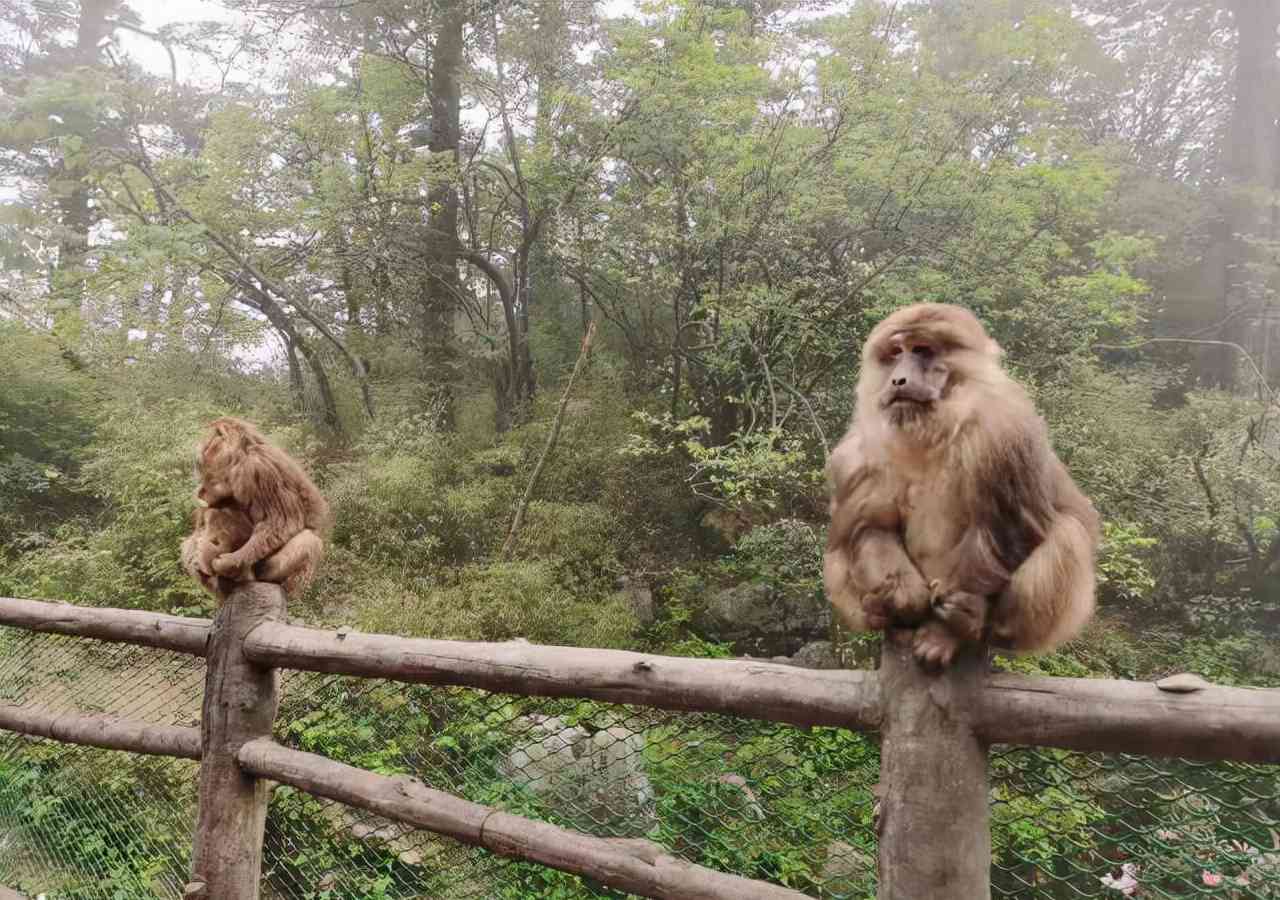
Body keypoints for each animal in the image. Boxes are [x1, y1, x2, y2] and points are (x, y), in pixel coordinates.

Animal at [195, 419, 330, 594]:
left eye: (208, 444)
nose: (201, 453)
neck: (242, 455)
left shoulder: (261, 469)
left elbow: (280, 522)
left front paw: (230, 561)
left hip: (269, 571)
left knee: (308, 540)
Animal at [824, 302, 1105, 670]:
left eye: (922, 350)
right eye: (895, 353)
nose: (898, 379)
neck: (934, 428)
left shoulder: (1003, 431)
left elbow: (1008, 526)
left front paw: (946, 632)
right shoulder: (862, 447)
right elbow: (871, 523)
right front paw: (905, 597)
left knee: (1068, 532)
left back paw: (976, 622)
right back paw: (878, 611)